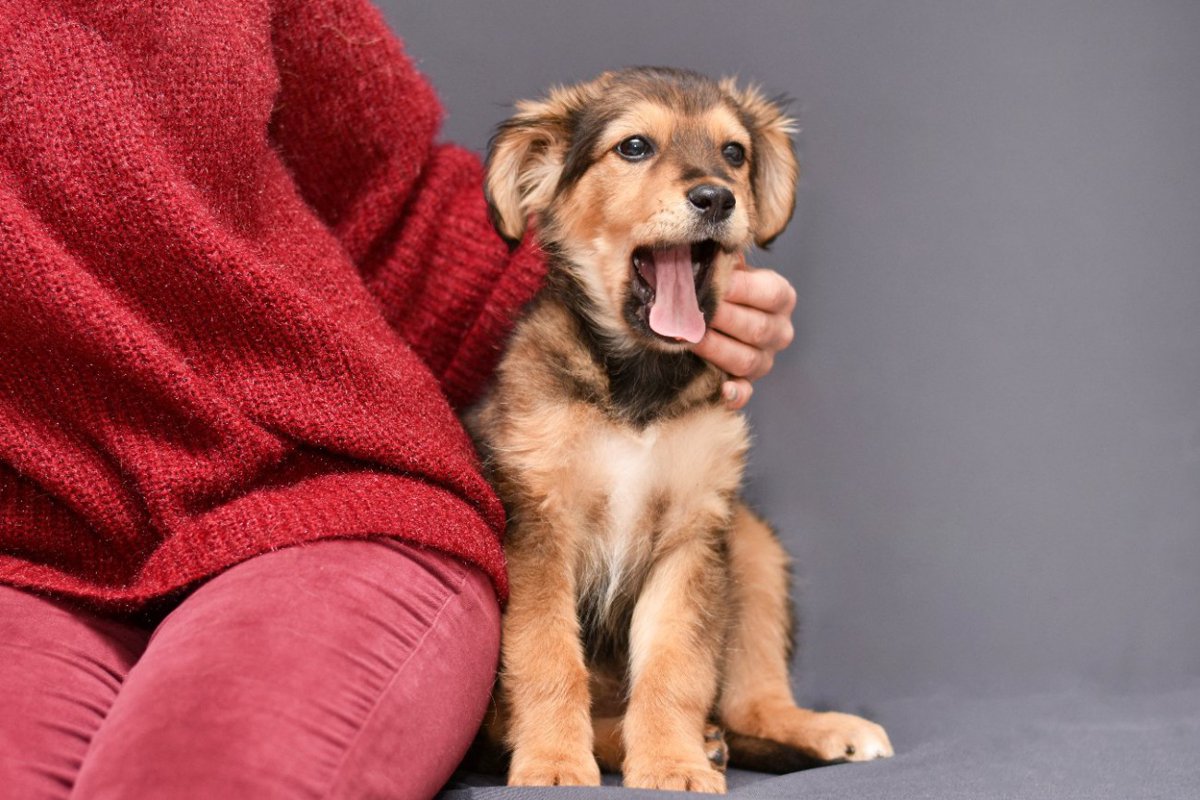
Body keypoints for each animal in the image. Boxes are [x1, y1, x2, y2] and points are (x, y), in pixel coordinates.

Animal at [468, 68, 892, 796]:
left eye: (735, 153)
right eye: (634, 147)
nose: (716, 197)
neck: (639, 383)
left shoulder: (694, 532)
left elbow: (675, 665)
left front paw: (673, 763)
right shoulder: (537, 528)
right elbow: (548, 655)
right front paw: (554, 763)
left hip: (750, 543)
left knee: (752, 700)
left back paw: (811, 731)